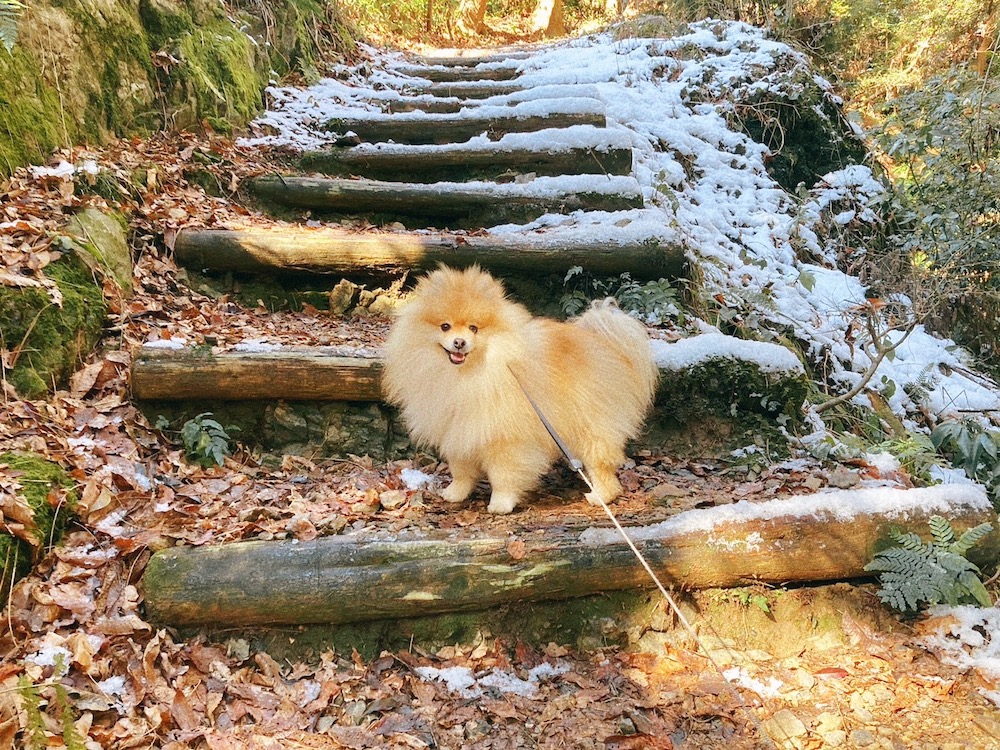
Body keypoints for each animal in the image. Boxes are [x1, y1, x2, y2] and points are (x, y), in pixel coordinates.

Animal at [380, 266, 656, 516]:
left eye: (474, 328)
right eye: (445, 326)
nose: (459, 342)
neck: (468, 374)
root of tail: (607, 344)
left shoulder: (506, 437)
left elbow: (503, 475)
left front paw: (501, 504)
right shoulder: (459, 428)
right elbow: (461, 469)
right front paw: (455, 493)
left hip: (590, 425)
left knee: (601, 464)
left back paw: (601, 496)